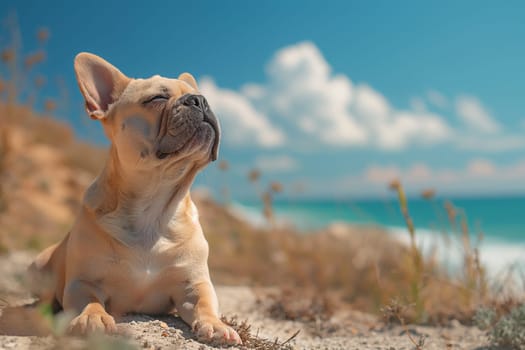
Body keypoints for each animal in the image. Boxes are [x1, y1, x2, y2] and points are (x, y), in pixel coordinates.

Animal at [29, 52, 242, 344]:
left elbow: (205, 303)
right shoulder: (82, 282)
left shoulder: (193, 284)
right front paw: (92, 318)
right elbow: (89, 301)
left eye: (202, 96)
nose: (199, 100)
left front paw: (217, 325)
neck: (153, 208)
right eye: (157, 98)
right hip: (37, 267)